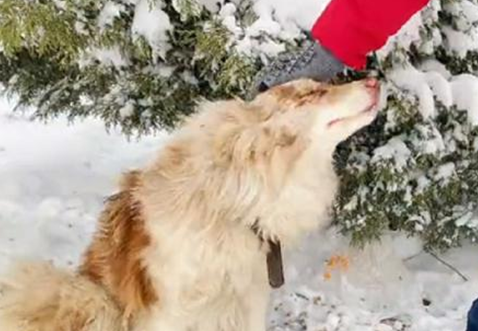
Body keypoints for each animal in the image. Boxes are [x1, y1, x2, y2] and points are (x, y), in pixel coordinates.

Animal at [0, 78, 380, 331]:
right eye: (312, 94)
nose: (374, 79)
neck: (231, 203)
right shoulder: (171, 313)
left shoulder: (247, 305)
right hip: (89, 298)